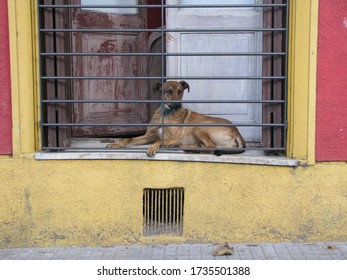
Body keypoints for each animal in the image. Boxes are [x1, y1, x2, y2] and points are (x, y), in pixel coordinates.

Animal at [107, 80, 246, 156]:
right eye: (168, 91)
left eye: (180, 91)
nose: (178, 105)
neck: (165, 113)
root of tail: (237, 132)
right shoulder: (149, 136)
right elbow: (129, 139)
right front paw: (116, 143)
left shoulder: (174, 137)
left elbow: (160, 140)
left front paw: (152, 148)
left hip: (198, 127)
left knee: (211, 147)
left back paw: (183, 147)